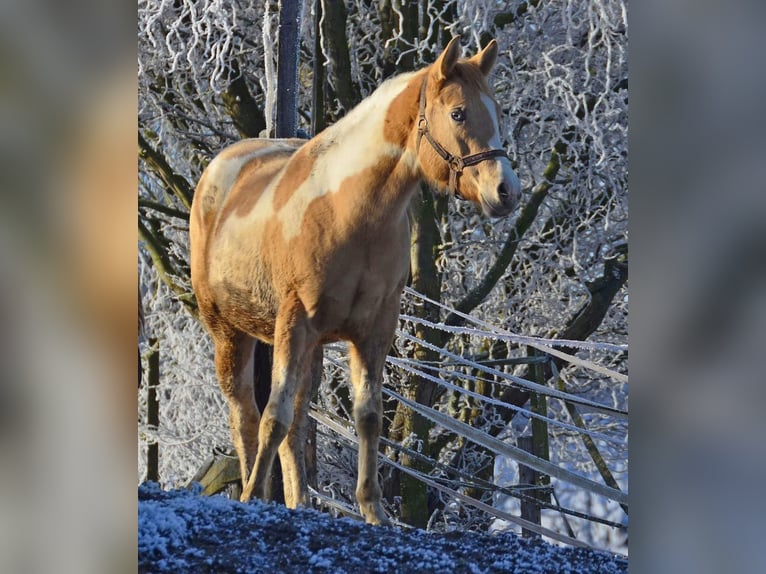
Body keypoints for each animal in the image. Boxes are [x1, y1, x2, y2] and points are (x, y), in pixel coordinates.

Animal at [190, 37, 520, 528]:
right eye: (459, 113)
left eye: (497, 111)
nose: (506, 191)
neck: (348, 211)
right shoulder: (293, 324)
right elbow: (273, 417)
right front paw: (250, 498)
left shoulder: (373, 331)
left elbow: (367, 417)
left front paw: (373, 512)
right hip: (229, 333)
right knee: (246, 414)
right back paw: (253, 489)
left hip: (307, 350)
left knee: (297, 425)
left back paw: (300, 503)